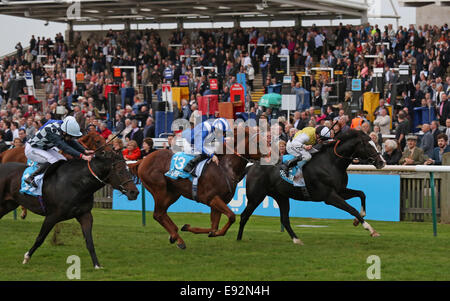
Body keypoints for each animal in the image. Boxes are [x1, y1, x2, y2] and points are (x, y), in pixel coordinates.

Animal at [0, 147, 138, 268]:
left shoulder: (85, 215)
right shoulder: (52, 216)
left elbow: (89, 241)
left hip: (8, 205)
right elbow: (40, 238)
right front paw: (27, 257)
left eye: (129, 170)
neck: (77, 183)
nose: (134, 192)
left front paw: (97, 265)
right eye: (120, 172)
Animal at [132, 125, 262, 248]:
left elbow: (214, 227)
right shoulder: (211, 198)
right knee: (158, 214)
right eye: (258, 142)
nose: (268, 155)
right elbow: (231, 216)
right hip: (160, 189)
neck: (226, 168)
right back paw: (178, 239)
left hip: (172, 193)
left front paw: (190, 228)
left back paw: (174, 235)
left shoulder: (218, 201)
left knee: (162, 213)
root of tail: (143, 160)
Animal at [236, 129, 386, 244]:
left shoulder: (340, 191)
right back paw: (238, 239)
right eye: (369, 146)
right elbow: (352, 209)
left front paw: (359, 218)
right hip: (256, 197)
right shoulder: (329, 197)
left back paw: (297, 240)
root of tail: (251, 166)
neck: (332, 163)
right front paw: (370, 229)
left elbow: (361, 193)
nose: (382, 162)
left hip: (281, 197)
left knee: (284, 219)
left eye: (375, 143)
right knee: (244, 216)